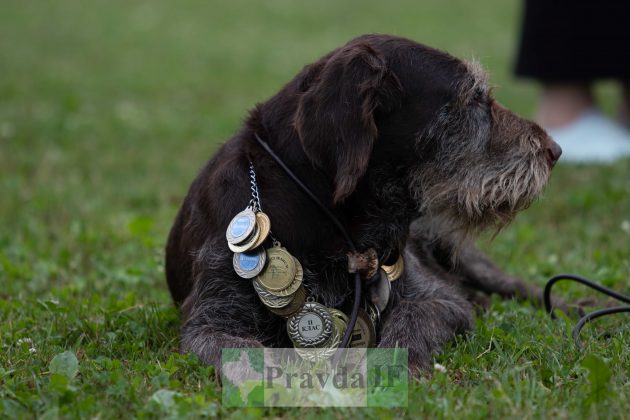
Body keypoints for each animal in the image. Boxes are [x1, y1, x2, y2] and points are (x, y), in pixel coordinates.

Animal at [164, 33, 564, 374]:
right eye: (474, 98)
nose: (555, 151)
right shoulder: (210, 322)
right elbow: (246, 358)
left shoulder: (438, 300)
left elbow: (411, 324)